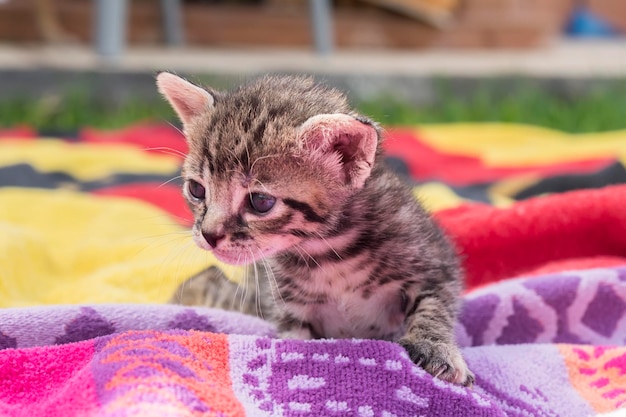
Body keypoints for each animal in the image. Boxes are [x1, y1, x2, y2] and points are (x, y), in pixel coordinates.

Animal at [157, 72, 472, 386]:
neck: (329, 251)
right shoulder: (287, 307)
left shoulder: (434, 259)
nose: (209, 235)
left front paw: (435, 348)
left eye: (260, 202)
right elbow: (296, 341)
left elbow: (435, 305)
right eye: (197, 190)